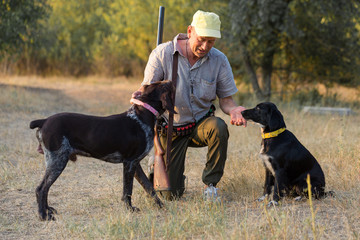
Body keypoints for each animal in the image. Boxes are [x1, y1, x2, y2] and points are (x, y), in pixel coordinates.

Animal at [29, 81, 174, 220]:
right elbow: (128, 190)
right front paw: (129, 209)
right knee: (41, 189)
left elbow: (149, 187)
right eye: (165, 85)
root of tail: (44, 121)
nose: (171, 80)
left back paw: (48, 210)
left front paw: (161, 206)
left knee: (45, 188)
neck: (141, 116)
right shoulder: (130, 163)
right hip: (57, 160)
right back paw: (43, 216)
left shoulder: (135, 164)